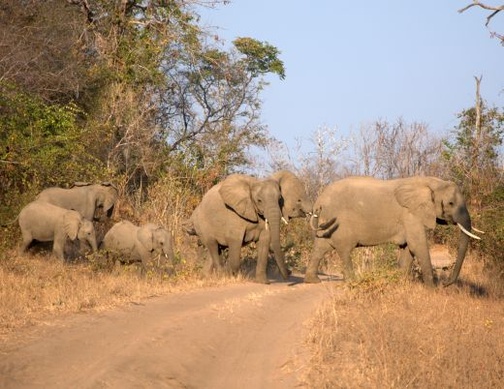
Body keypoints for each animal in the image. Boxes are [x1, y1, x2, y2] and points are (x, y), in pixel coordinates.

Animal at [306, 175, 482, 284]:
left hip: (325, 221)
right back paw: (353, 281)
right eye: (451, 203)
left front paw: (400, 282)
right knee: (344, 249)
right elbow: (417, 245)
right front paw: (432, 289)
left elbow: (407, 249)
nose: (445, 284)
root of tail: (318, 202)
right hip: (339, 223)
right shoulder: (410, 214)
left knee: (319, 248)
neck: (431, 181)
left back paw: (313, 280)